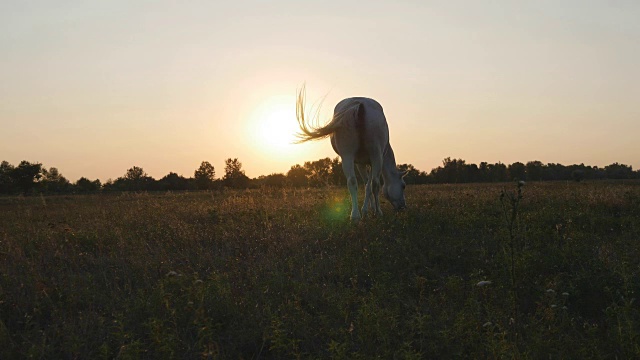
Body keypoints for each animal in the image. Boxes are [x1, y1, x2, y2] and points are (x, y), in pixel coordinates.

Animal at [296, 88, 404, 221]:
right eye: (403, 186)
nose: (403, 207)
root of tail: (359, 106)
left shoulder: (361, 163)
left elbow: (366, 184)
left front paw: (366, 210)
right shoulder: (370, 162)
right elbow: (369, 185)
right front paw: (370, 209)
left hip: (347, 156)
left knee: (352, 182)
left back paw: (355, 216)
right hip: (376, 155)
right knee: (375, 183)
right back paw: (378, 212)